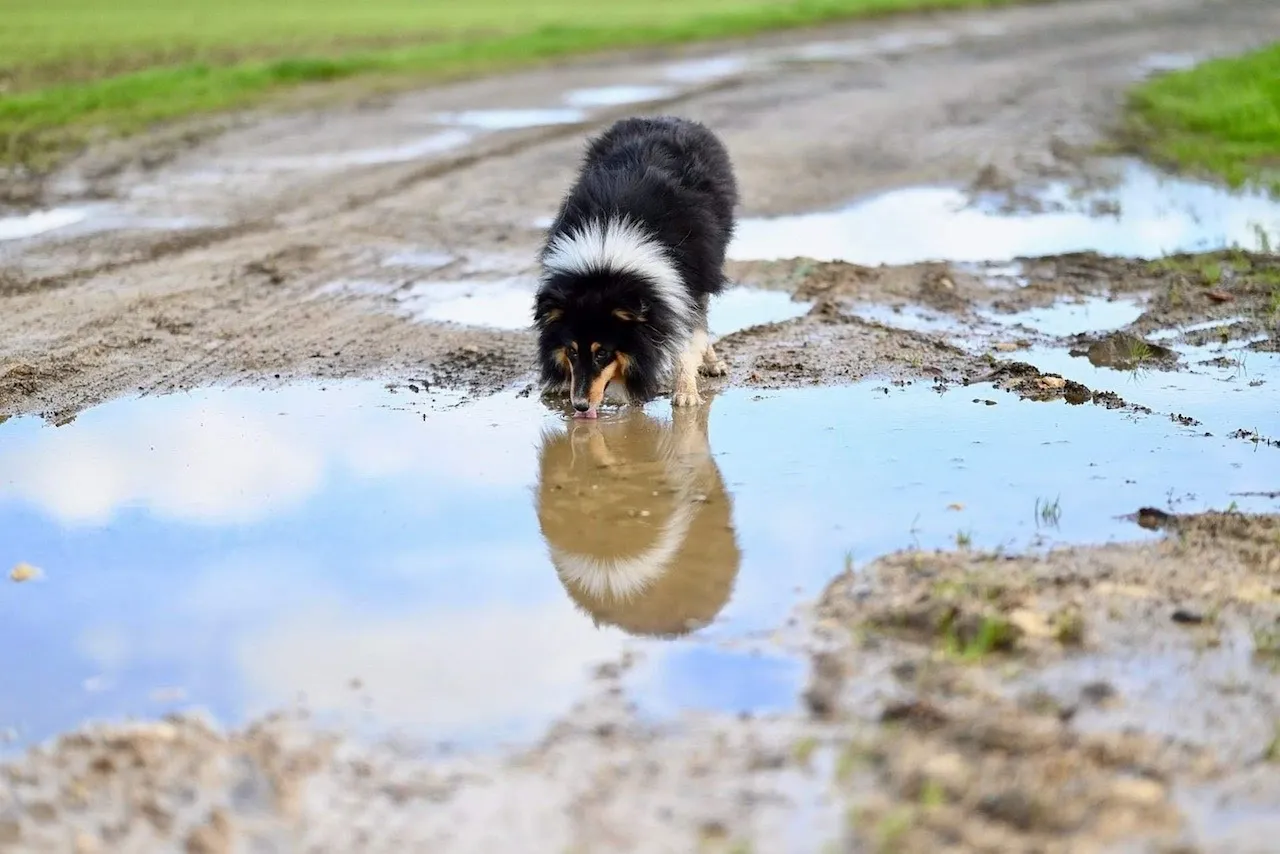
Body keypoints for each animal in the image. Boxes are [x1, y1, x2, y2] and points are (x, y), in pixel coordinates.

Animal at [529, 115, 737, 419]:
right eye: (572, 352)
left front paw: (686, 394)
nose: (580, 406)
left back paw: (712, 364)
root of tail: (666, 118)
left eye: (603, 353)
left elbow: (687, 337)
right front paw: (558, 383)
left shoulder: (686, 280)